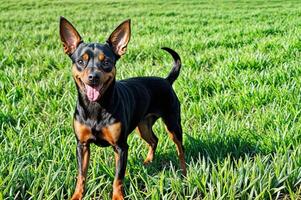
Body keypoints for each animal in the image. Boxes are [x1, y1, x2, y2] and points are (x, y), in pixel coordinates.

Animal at [58, 16, 185, 200]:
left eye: (107, 62)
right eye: (81, 61)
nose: (93, 77)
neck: (96, 107)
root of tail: (166, 81)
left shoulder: (121, 147)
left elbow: (118, 177)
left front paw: (117, 197)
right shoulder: (82, 145)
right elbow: (81, 175)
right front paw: (77, 196)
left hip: (173, 124)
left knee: (180, 149)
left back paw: (184, 173)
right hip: (142, 125)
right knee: (154, 140)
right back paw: (148, 161)